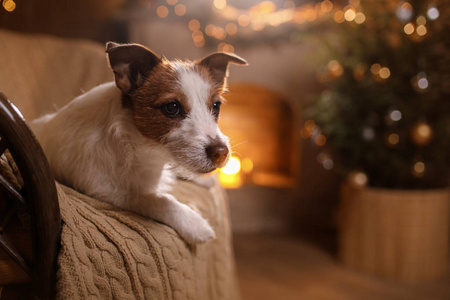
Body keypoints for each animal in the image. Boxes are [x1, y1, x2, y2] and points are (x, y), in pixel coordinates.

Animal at [32, 42, 246, 244]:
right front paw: (193, 223)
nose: (222, 153)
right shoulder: (105, 190)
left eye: (216, 106)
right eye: (172, 107)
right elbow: (154, 200)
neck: (143, 150)